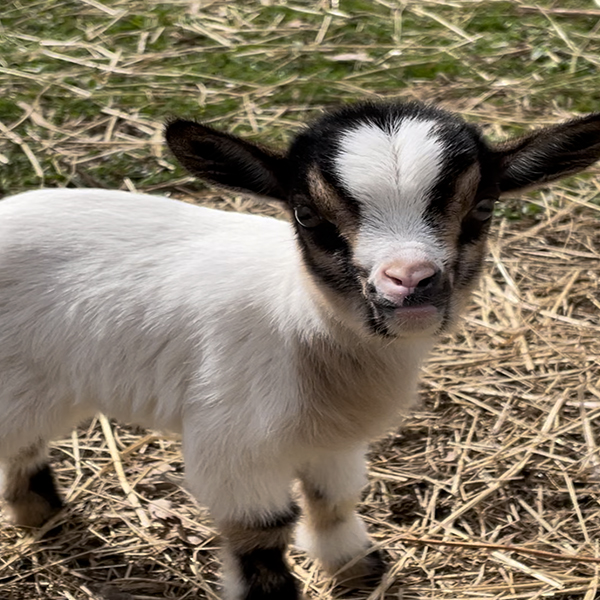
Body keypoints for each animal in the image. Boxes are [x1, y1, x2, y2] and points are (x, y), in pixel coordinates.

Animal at [1, 101, 600, 596]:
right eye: (306, 214)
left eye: (483, 208)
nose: (409, 281)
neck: (302, 325)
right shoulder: (233, 444)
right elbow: (261, 536)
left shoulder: (332, 439)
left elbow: (333, 502)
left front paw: (356, 568)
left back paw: (40, 516)